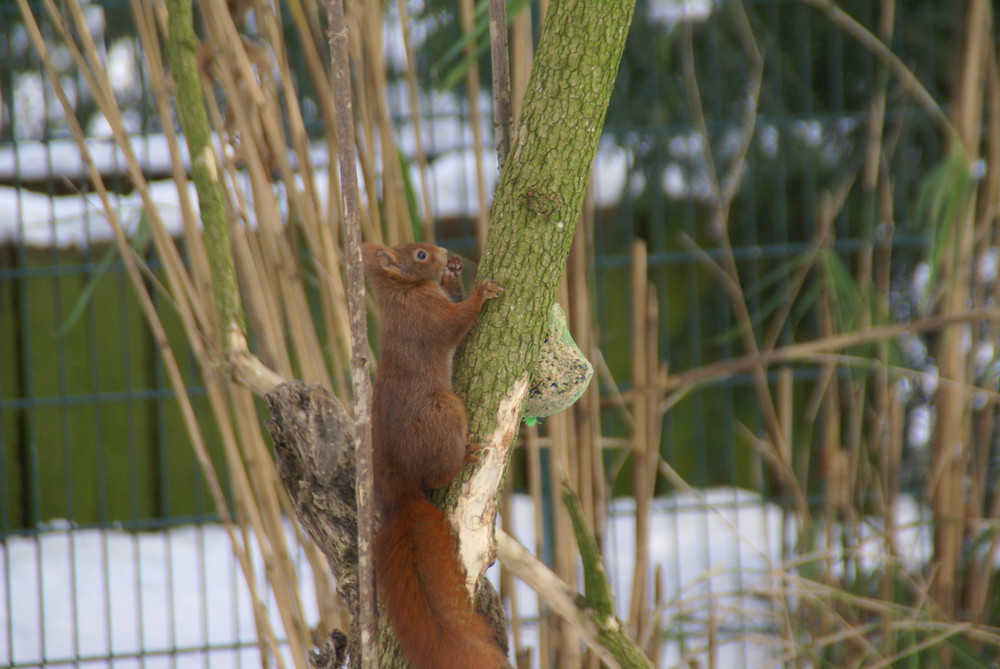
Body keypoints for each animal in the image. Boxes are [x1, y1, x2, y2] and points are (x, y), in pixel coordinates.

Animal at [362, 241, 508, 668]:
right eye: (420, 255)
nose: (445, 254)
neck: (404, 292)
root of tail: (399, 486)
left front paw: (455, 276)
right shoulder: (427, 318)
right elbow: (455, 321)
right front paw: (481, 292)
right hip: (445, 412)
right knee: (439, 476)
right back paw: (465, 456)